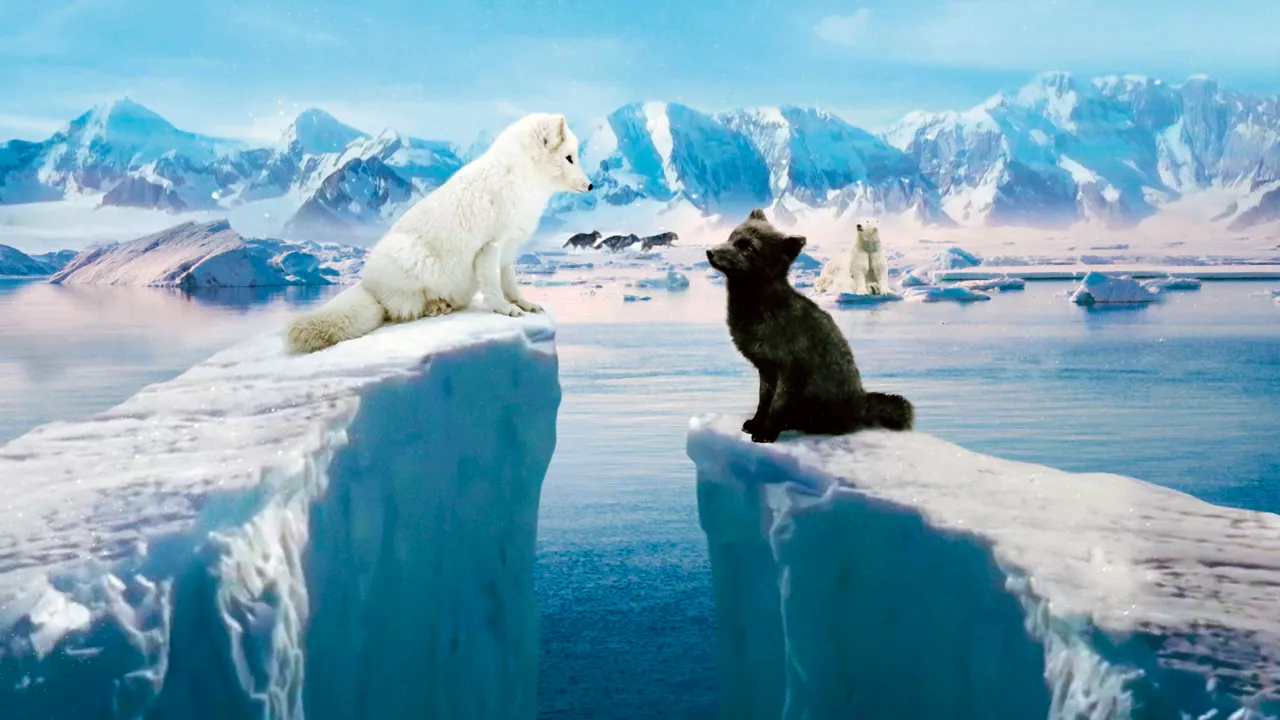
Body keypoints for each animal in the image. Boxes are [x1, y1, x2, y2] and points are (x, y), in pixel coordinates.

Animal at [288, 111, 591, 353]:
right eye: (569, 158)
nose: (590, 185)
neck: (523, 182)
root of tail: (367, 286)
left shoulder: (508, 253)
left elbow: (511, 286)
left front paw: (525, 305)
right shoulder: (490, 247)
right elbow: (494, 288)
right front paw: (506, 310)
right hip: (411, 259)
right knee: (403, 310)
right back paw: (434, 306)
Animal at [711, 207, 911, 443]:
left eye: (749, 248)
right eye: (731, 237)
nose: (709, 252)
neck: (764, 308)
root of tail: (860, 403)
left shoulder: (791, 370)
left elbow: (776, 406)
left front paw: (766, 432)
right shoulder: (766, 370)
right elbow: (763, 402)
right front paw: (756, 424)